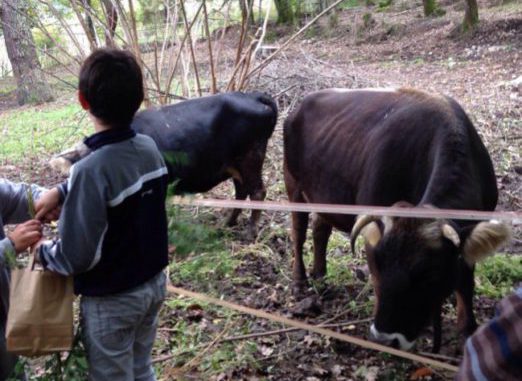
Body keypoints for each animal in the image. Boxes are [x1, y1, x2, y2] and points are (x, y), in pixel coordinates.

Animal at [51, 91, 276, 238]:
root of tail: (253, 95)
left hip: (250, 157)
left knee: (257, 192)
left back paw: (250, 232)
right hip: (234, 164)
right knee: (242, 191)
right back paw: (227, 223)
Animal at [280, 87, 508, 350]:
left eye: (430, 273)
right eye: (376, 264)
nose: (386, 338)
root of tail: (300, 105)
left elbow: (466, 280)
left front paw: (467, 327)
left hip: (324, 195)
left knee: (320, 229)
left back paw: (321, 276)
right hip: (294, 186)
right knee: (298, 232)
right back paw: (300, 282)